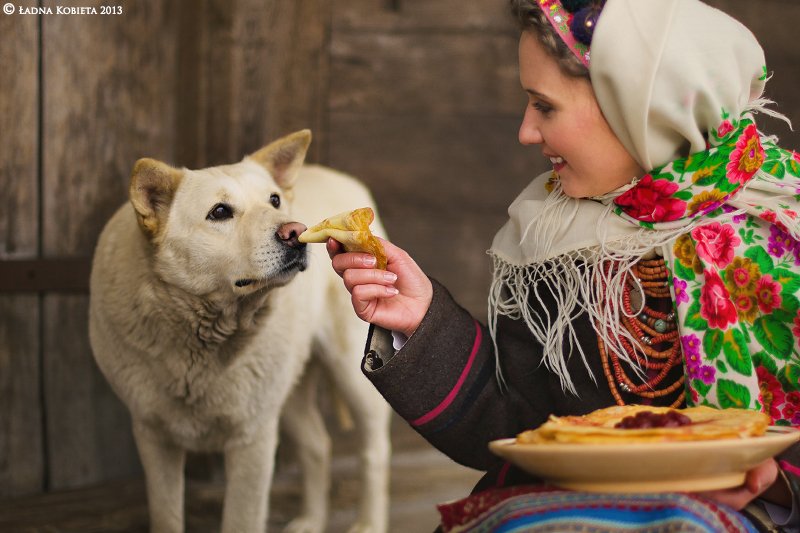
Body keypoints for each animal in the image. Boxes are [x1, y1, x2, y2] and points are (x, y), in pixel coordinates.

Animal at [89, 130, 392, 532]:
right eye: (219, 212)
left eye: (274, 200)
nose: (295, 231)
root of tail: (343, 177)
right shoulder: (153, 436)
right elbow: (166, 514)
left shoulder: (253, 439)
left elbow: (241, 518)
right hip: (286, 391)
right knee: (318, 445)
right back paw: (310, 520)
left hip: (351, 375)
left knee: (374, 451)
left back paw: (369, 522)